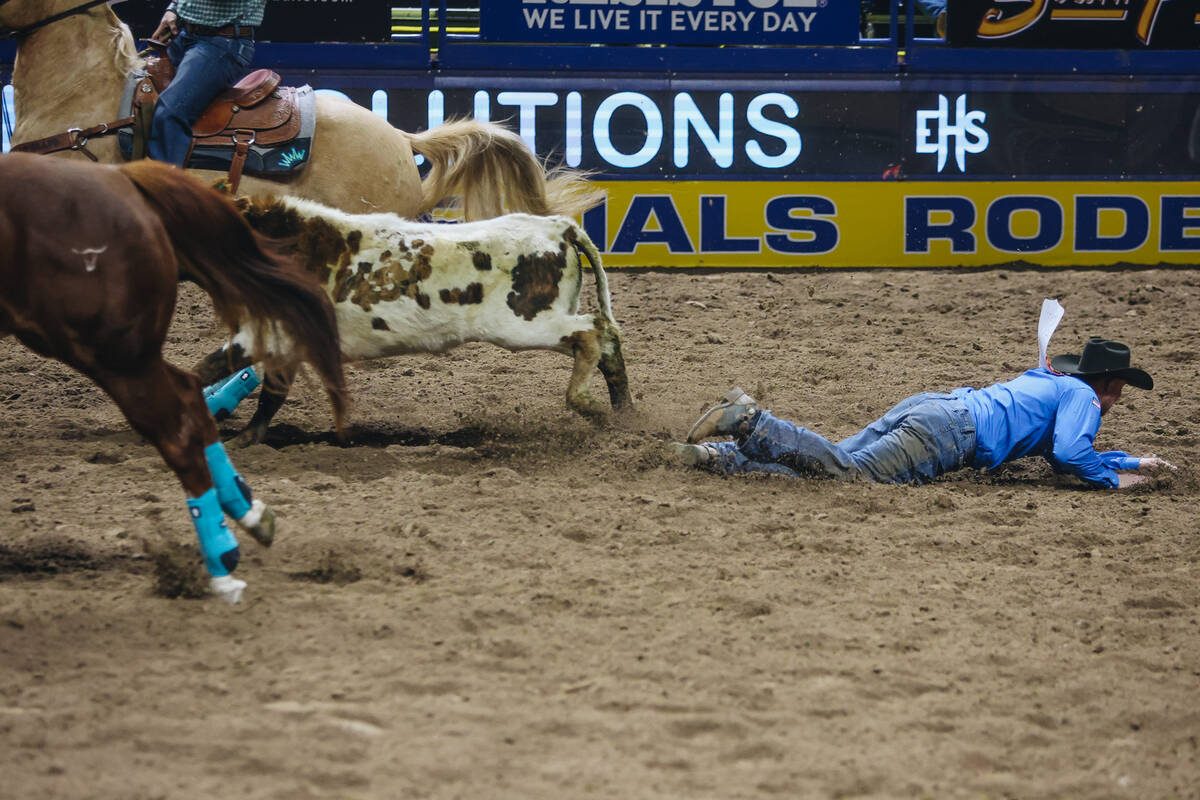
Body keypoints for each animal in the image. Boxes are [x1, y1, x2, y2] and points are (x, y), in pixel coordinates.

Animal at [0, 151, 348, 599]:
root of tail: (121, 180)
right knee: (190, 395)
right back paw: (248, 514)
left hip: (110, 350)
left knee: (179, 426)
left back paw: (222, 561)